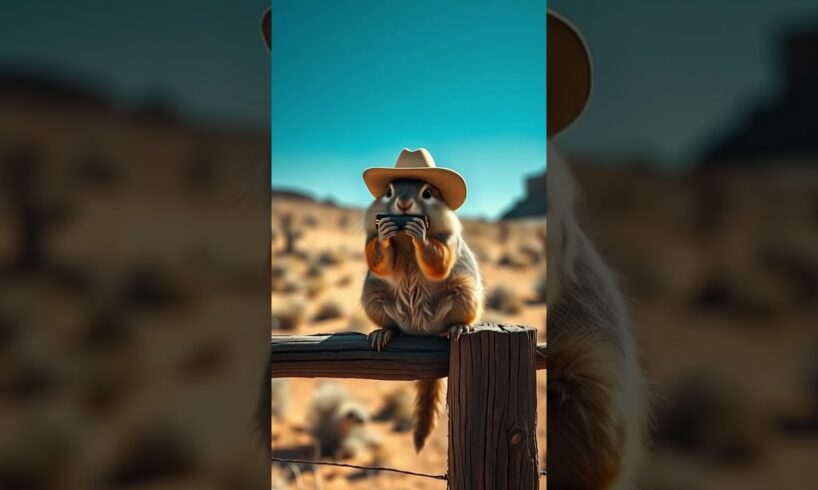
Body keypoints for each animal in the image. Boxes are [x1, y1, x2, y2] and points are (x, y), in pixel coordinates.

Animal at [358, 174, 484, 454]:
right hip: (372, 294)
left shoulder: (448, 239)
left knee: (456, 320)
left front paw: (422, 235)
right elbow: (377, 258)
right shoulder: (371, 238)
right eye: (388, 191)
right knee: (392, 325)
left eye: (428, 193)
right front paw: (384, 236)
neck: (405, 240)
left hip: (465, 291)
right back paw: (383, 333)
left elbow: (438, 261)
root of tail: (421, 331)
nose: (404, 203)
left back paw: (458, 328)